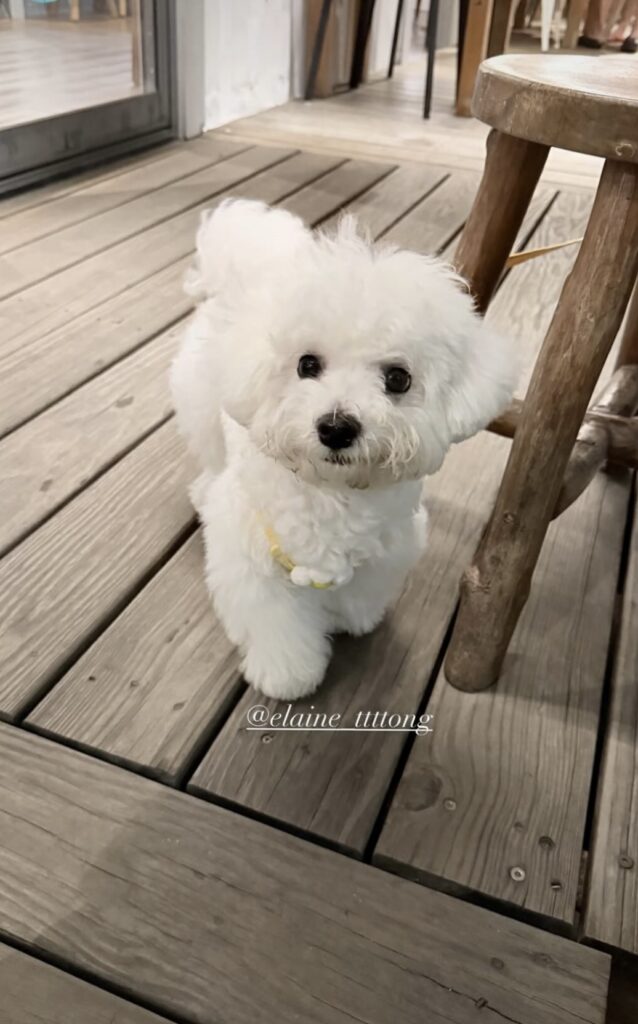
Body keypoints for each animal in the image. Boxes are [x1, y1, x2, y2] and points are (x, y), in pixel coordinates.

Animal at [170, 199, 516, 700]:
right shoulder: (252, 566)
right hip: (203, 411)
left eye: (398, 378)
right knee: (212, 458)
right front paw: (288, 674)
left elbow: (359, 591)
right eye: (306, 365)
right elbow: (278, 625)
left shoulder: (387, 549)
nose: (336, 428)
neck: (331, 493)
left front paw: (353, 617)